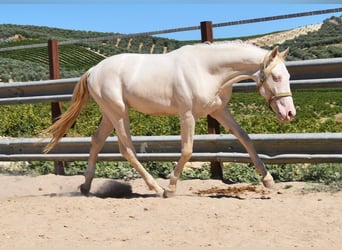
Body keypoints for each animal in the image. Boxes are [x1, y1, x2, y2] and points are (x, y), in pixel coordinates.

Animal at [43, 41, 296, 197]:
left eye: (288, 76)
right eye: (276, 76)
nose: (290, 114)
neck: (207, 71)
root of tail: (94, 70)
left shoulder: (219, 111)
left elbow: (245, 138)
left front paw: (268, 180)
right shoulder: (187, 115)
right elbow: (187, 150)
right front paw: (171, 188)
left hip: (109, 113)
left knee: (96, 140)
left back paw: (86, 186)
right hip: (119, 112)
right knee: (126, 148)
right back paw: (155, 187)